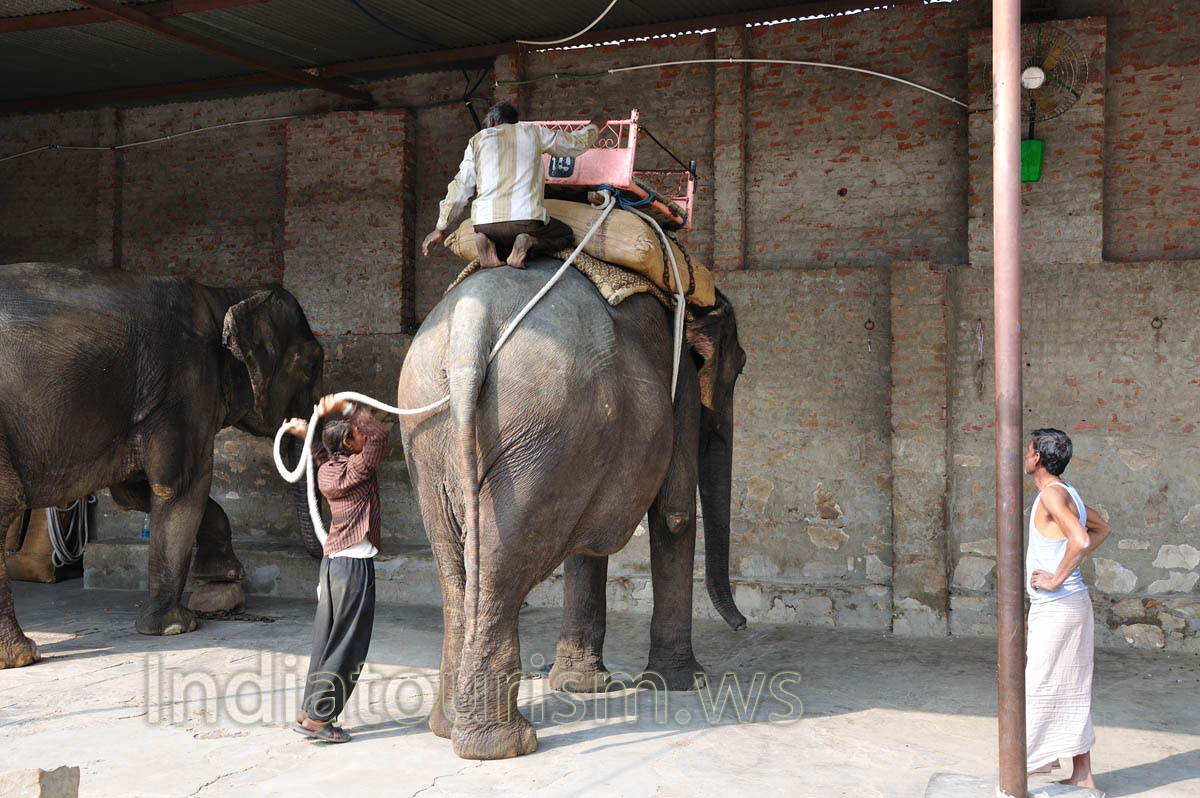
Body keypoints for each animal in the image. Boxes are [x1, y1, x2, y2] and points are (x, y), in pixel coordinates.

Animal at [0, 262, 324, 669]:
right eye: (313, 365)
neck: (225, 295)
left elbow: (133, 490)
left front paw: (223, 576)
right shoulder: (185, 387)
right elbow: (182, 485)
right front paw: (176, 626)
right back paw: (23, 656)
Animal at [396, 256, 746, 760]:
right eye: (739, 369)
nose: (741, 625)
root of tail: (470, 322)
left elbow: (586, 545)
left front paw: (583, 687)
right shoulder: (678, 380)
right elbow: (675, 515)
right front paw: (683, 684)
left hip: (428, 431)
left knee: (454, 565)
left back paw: (447, 728)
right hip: (540, 431)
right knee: (503, 564)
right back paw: (503, 745)